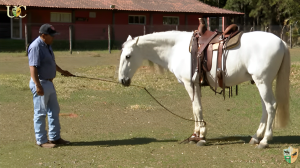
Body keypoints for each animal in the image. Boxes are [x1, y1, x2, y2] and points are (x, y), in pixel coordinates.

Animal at [118, 30, 290, 148]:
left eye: (128, 56)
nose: (122, 80)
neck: (176, 49)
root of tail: (281, 41)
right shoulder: (195, 85)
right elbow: (195, 109)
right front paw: (196, 134)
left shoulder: (189, 84)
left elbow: (197, 108)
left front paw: (200, 137)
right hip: (262, 83)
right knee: (265, 108)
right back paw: (256, 137)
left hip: (263, 82)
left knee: (271, 106)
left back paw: (265, 140)